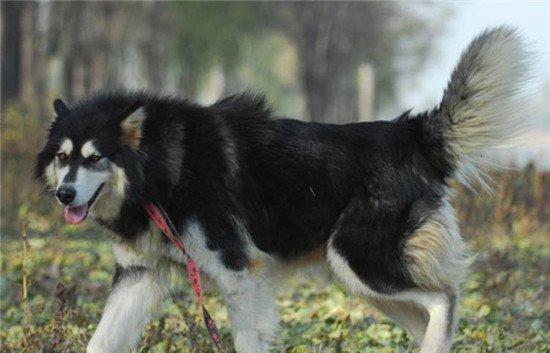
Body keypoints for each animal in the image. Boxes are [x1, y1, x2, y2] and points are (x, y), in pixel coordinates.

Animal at [35, 27, 536, 352]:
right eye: (63, 158)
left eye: (95, 158)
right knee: (429, 313)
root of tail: (407, 133)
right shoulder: (140, 275)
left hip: (361, 260)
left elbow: (246, 339)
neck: (163, 169)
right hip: (361, 279)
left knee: (444, 299)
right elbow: (101, 341)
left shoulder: (239, 274)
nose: (65, 195)